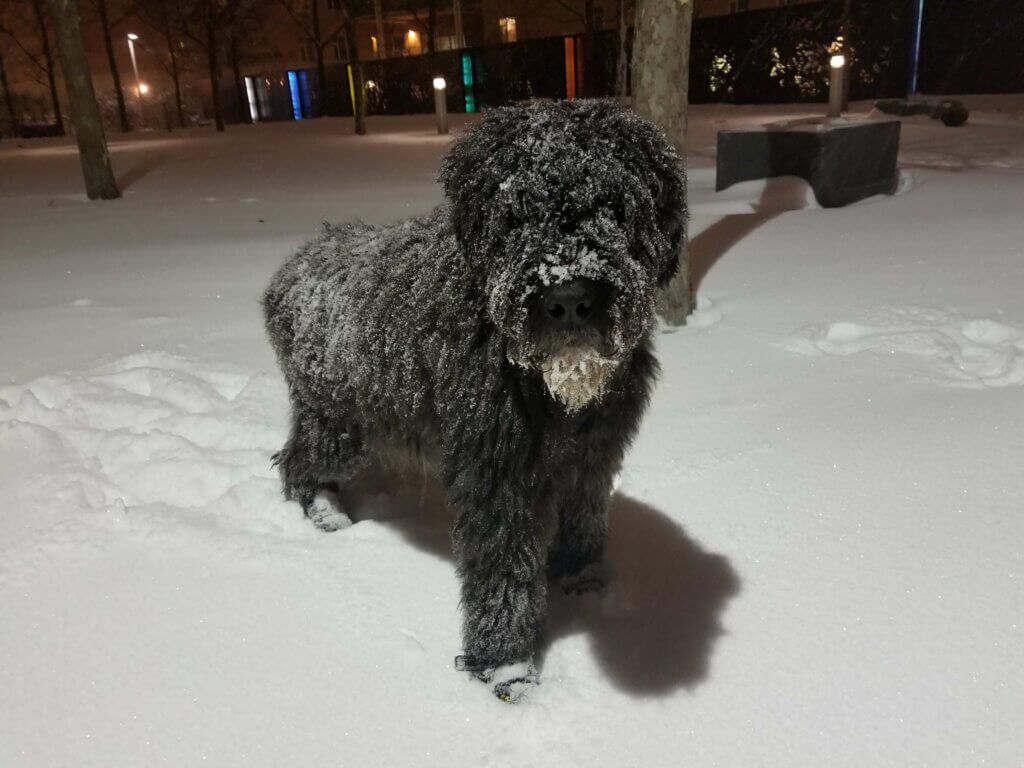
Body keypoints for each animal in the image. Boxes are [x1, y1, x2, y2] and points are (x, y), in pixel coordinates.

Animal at [260, 100, 684, 704]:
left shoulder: (594, 453)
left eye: (612, 204)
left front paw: (581, 578)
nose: (569, 300)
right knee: (297, 462)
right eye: (518, 211)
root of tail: (293, 268)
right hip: (337, 421)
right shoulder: (496, 471)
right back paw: (324, 513)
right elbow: (503, 571)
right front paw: (506, 667)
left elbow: (583, 512)